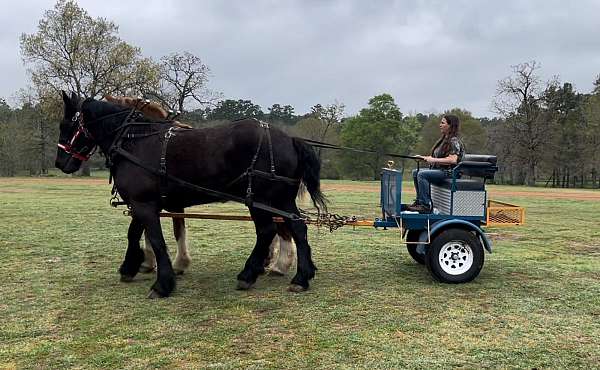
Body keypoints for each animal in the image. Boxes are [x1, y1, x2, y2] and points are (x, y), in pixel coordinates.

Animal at [55, 92, 328, 298]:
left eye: (66, 125)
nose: (60, 163)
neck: (134, 141)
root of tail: (290, 138)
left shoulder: (143, 204)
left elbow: (156, 239)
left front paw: (163, 283)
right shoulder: (147, 203)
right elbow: (135, 233)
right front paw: (131, 267)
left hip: (260, 199)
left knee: (268, 231)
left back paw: (251, 273)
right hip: (281, 199)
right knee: (297, 228)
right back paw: (301, 277)